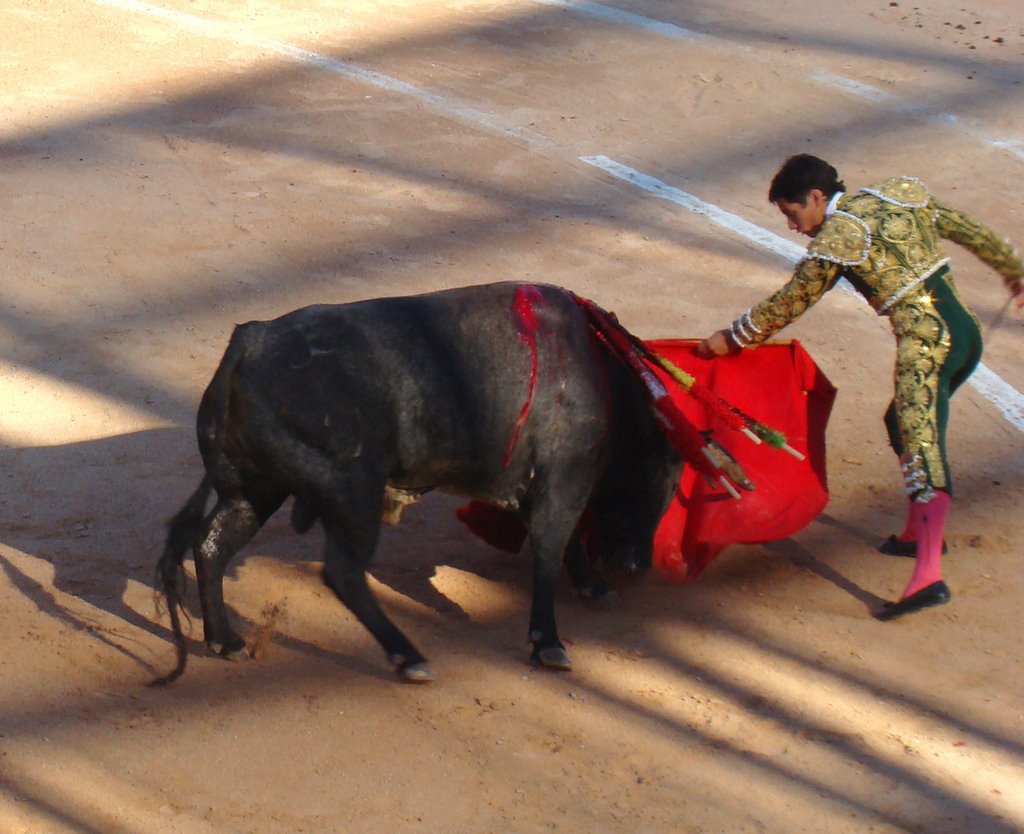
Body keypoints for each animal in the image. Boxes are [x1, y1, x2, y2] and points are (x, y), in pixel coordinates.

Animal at [155, 282, 684, 684]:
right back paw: (409, 657)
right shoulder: (564, 478)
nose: (636, 564)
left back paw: (225, 641)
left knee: (212, 546)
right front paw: (549, 643)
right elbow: (551, 549)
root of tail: (247, 343)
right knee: (342, 573)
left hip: (256, 490)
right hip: (352, 493)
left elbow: (563, 542)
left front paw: (592, 588)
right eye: (657, 480)